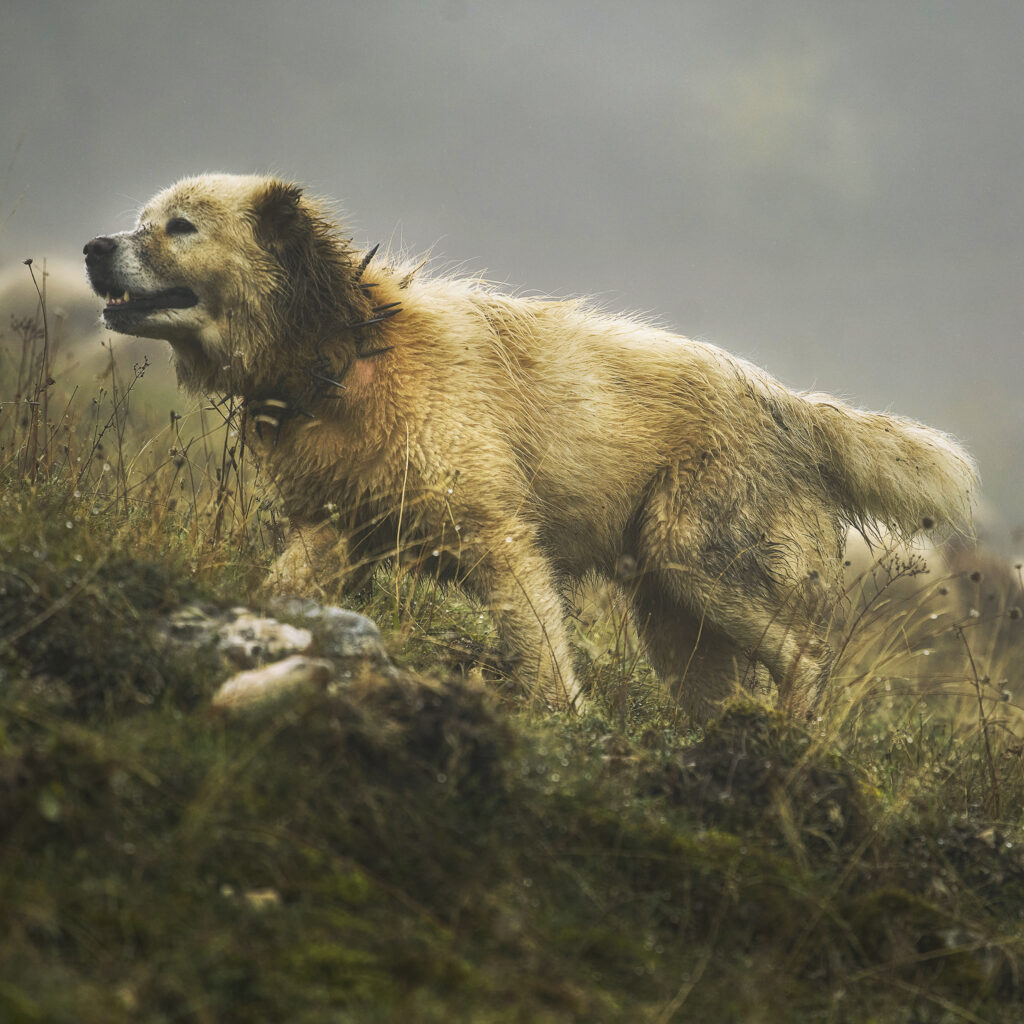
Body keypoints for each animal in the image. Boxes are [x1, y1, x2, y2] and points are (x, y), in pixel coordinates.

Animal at [83, 174, 970, 720]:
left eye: (180, 227)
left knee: (805, 656)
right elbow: (283, 584)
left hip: (698, 554)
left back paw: (790, 733)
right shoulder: (333, 525)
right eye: (143, 219)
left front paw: (565, 719)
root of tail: (796, 406)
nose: (94, 248)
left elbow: (539, 642)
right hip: (674, 609)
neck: (346, 352)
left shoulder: (498, 533)